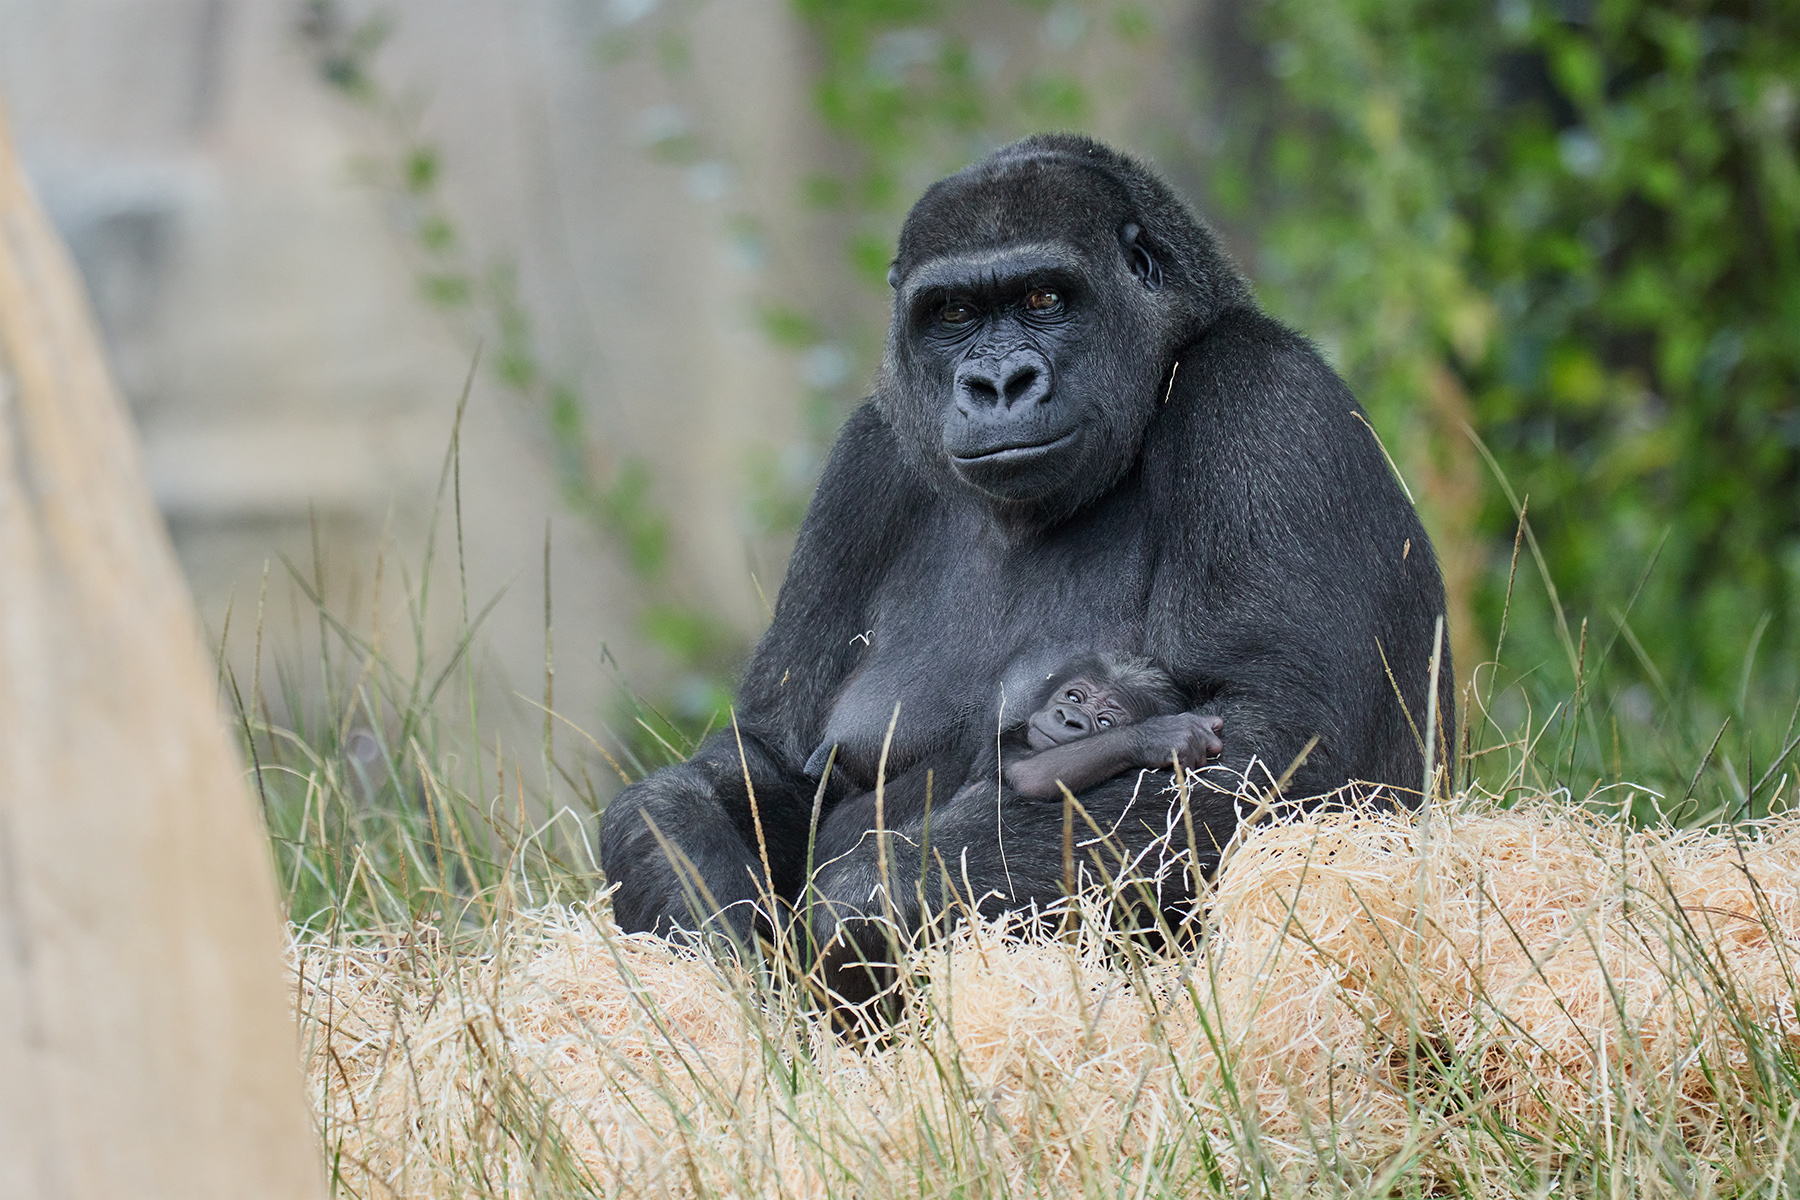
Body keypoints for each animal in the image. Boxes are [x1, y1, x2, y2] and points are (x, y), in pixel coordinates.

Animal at [597, 134, 1454, 949]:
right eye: (951, 313)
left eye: (1044, 297)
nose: (998, 384)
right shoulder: (867, 457)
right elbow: (773, 761)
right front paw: (693, 879)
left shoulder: (1263, 397)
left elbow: (1277, 742)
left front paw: (861, 902)